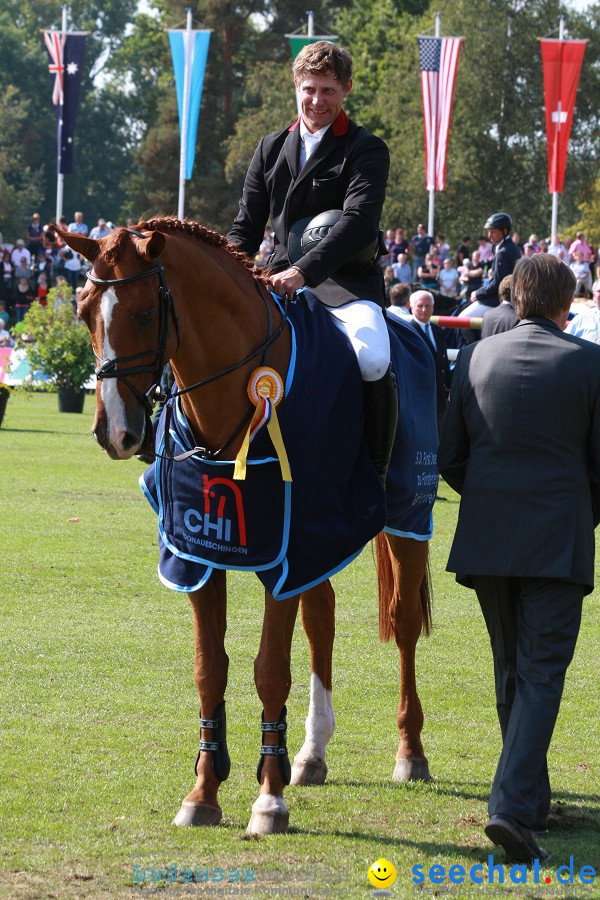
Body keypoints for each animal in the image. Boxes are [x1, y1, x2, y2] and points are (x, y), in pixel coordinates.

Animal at [61, 218, 434, 836]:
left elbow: (270, 670)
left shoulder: (285, 550)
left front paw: (268, 800)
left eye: (144, 312)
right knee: (322, 619)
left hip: (405, 518)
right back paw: (311, 754)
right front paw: (203, 792)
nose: (116, 433)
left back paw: (410, 753)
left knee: (403, 624)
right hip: (321, 541)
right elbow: (209, 669)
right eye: (84, 309)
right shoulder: (203, 553)